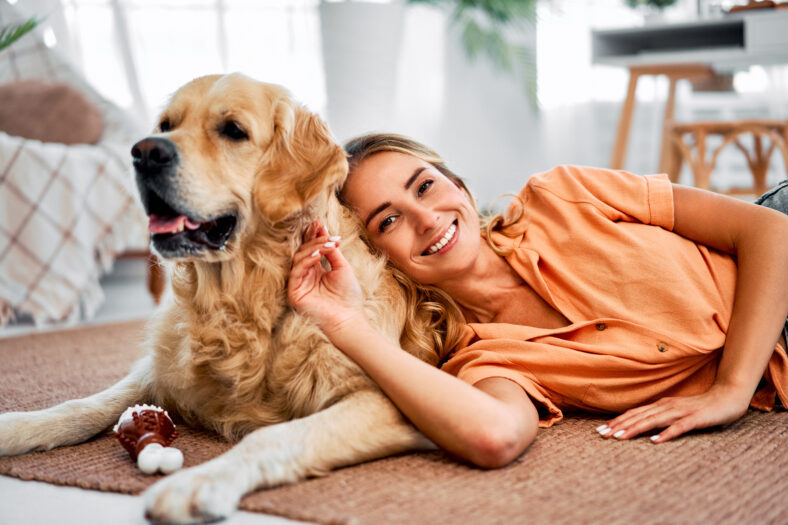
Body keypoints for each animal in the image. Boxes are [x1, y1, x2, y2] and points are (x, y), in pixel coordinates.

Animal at [0, 74, 434, 524]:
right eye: (166, 124)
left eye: (233, 131)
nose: (144, 152)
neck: (246, 299)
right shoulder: (160, 369)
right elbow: (87, 403)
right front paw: (17, 426)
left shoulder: (383, 400)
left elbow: (273, 437)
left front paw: (198, 482)